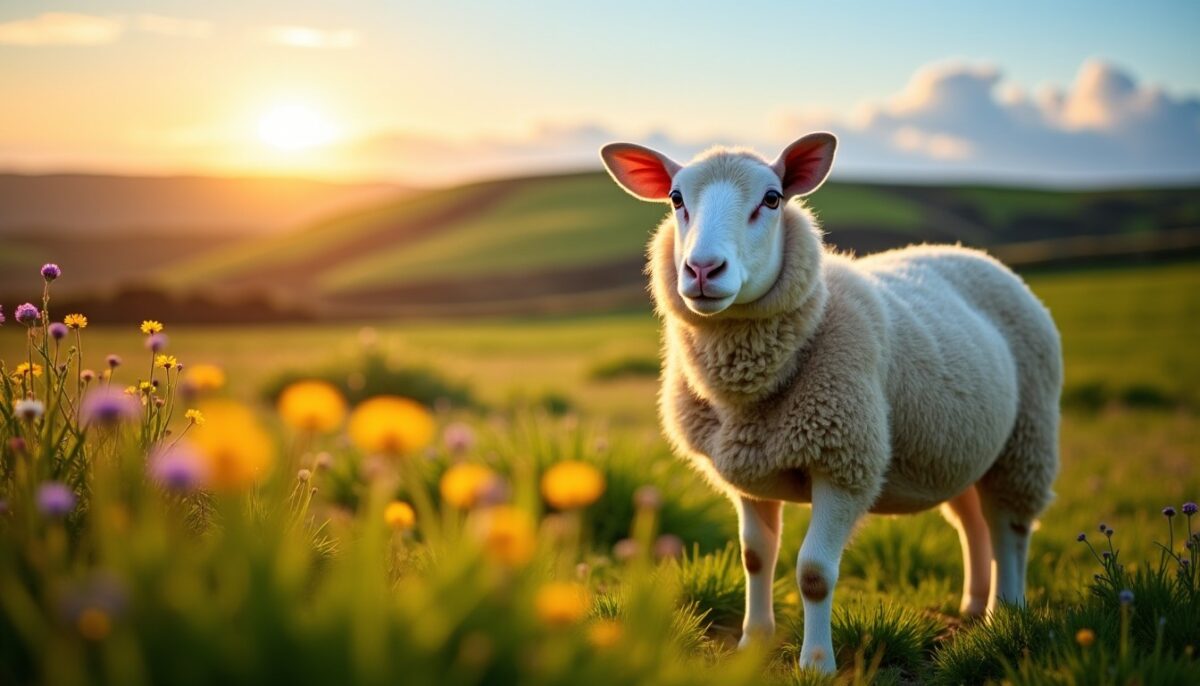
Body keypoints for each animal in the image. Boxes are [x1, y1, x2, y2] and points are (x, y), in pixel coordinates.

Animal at [599, 133, 1061, 673]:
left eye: (772, 198)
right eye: (675, 199)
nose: (702, 270)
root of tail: (976, 255)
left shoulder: (845, 465)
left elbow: (814, 572)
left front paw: (816, 663)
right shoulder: (747, 473)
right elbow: (755, 558)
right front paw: (753, 643)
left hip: (1025, 439)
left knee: (1010, 528)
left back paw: (1004, 614)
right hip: (959, 446)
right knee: (973, 524)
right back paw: (972, 605)